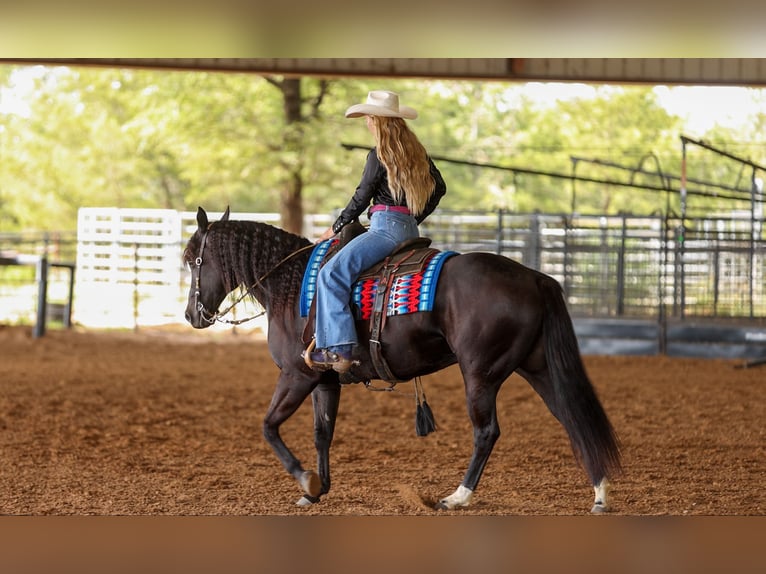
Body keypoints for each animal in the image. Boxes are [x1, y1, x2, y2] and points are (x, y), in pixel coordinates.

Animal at [183, 206, 622, 513]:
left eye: (192, 259)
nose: (191, 316)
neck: (289, 285)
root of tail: (533, 277)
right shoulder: (324, 380)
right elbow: (322, 433)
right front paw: (318, 490)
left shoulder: (296, 375)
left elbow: (269, 427)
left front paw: (307, 482)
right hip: (537, 367)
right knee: (573, 415)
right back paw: (600, 493)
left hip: (481, 373)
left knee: (487, 432)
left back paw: (457, 497)